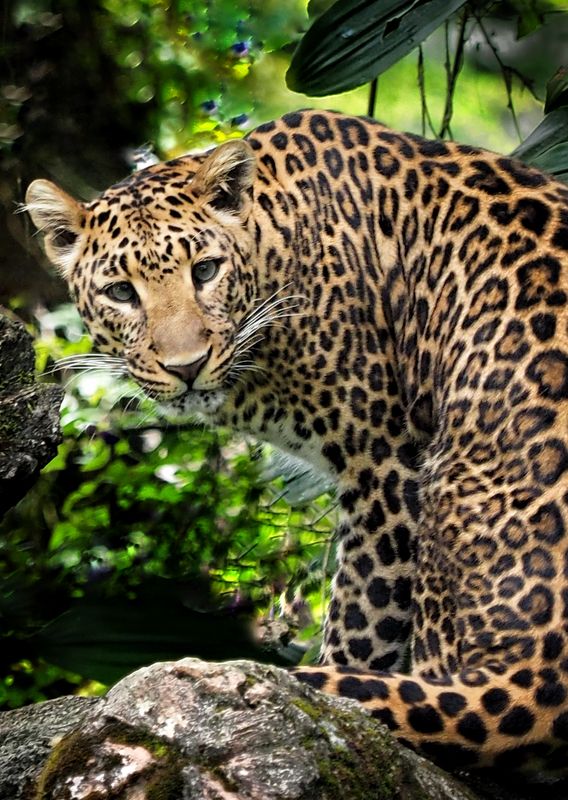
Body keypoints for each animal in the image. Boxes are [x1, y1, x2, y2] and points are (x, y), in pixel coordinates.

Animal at [25, 109, 568, 779]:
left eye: (204, 271)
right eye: (122, 292)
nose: (186, 366)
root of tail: (539, 680)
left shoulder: (385, 466)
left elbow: (358, 629)